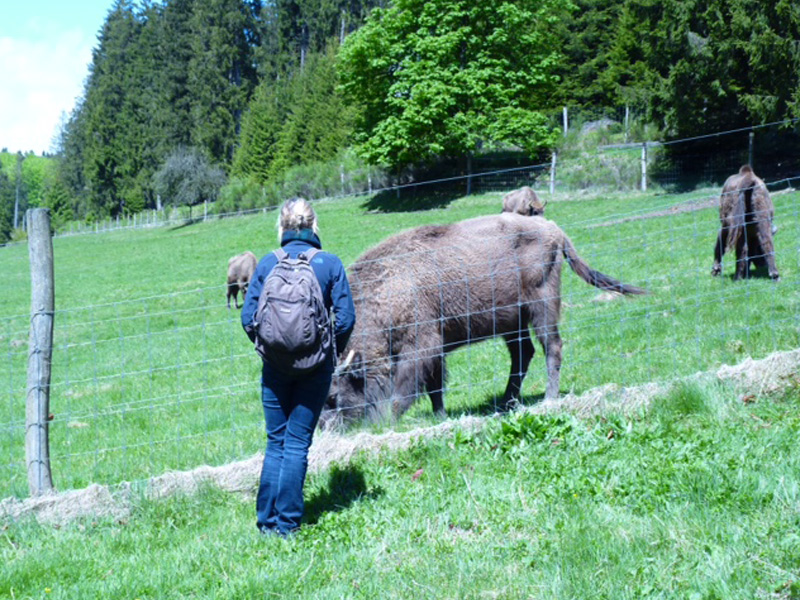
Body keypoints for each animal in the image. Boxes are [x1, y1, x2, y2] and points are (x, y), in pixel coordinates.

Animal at [324, 213, 644, 424]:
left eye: (332, 397)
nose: (329, 428)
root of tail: (555, 230)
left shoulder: (421, 346)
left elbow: (407, 390)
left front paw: (391, 420)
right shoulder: (436, 350)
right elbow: (435, 387)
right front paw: (440, 417)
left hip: (541, 307)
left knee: (552, 347)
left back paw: (549, 398)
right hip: (513, 323)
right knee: (523, 354)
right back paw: (506, 402)